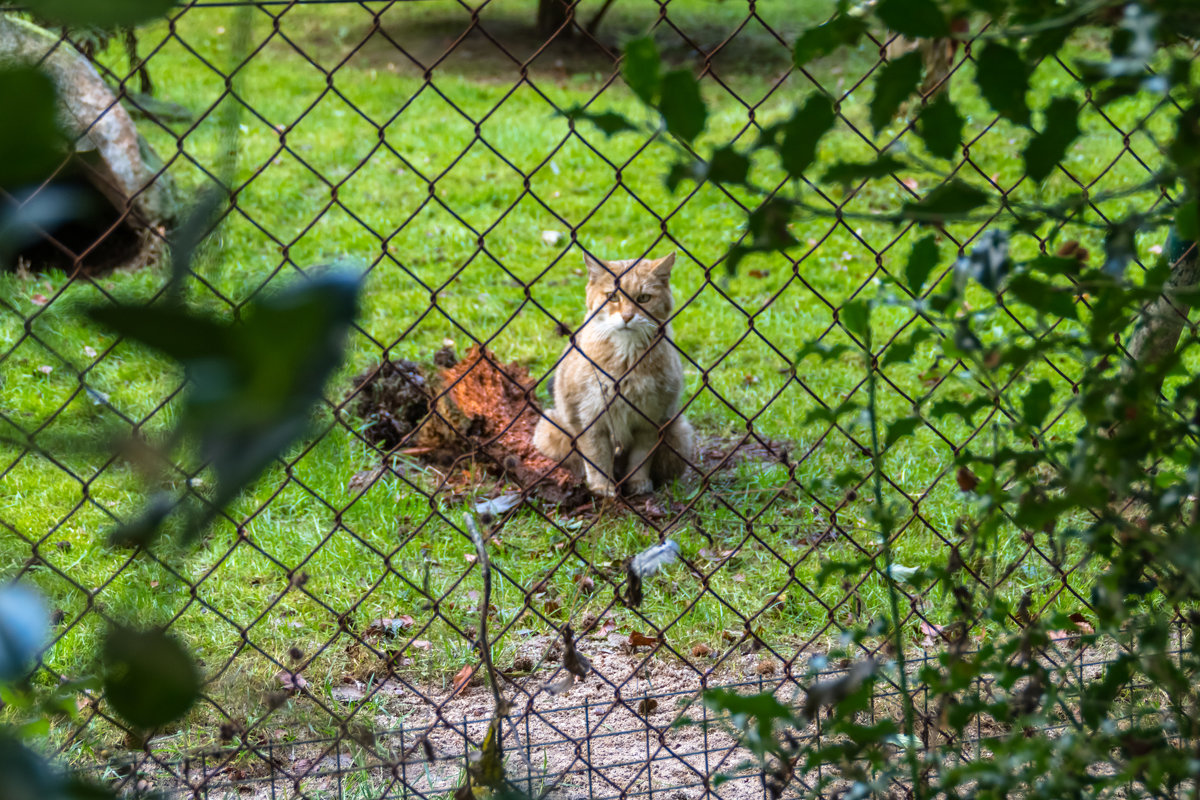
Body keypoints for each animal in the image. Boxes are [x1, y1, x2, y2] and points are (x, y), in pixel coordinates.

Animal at [532, 253, 696, 496]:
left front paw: (638, 482)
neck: (626, 360)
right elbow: (597, 457)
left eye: (644, 298)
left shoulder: (650, 420)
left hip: (678, 432)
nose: (627, 317)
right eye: (613, 297)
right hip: (550, 427)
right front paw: (603, 487)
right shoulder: (588, 420)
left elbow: (641, 458)